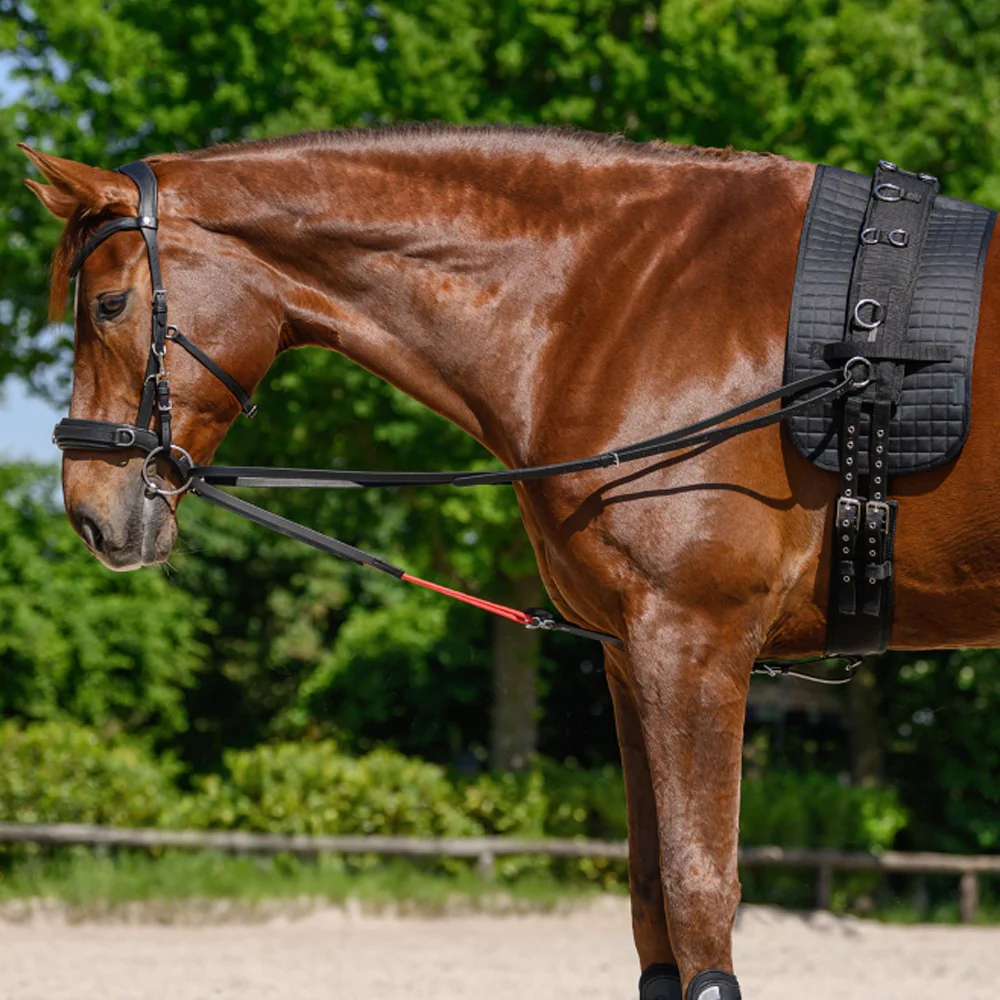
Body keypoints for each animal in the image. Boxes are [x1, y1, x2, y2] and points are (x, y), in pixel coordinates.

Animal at [21, 125, 1000, 1000]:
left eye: (109, 306)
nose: (91, 514)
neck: (617, 297)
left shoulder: (696, 645)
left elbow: (697, 895)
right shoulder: (631, 656)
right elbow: (651, 899)